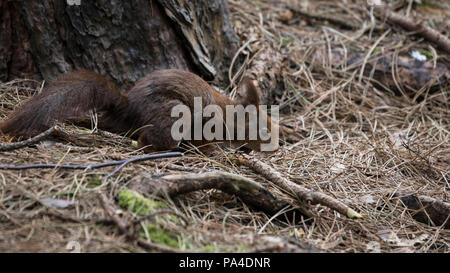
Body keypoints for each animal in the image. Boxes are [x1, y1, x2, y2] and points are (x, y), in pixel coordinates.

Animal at [0, 69, 280, 152]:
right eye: (264, 130)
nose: (276, 147)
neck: (228, 114)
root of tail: (128, 107)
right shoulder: (206, 121)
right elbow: (205, 142)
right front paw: (216, 151)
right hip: (172, 115)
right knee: (146, 140)